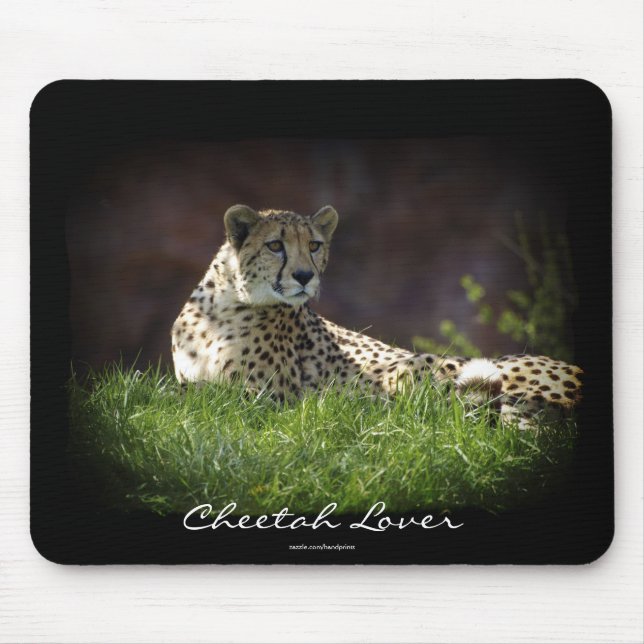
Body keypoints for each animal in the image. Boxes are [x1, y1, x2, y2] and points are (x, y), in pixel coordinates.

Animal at [171, 204, 583, 427]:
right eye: (275, 245)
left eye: (314, 245)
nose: (305, 276)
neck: (224, 306)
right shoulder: (194, 381)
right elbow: (184, 393)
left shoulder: (266, 400)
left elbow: (207, 400)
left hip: (411, 370)